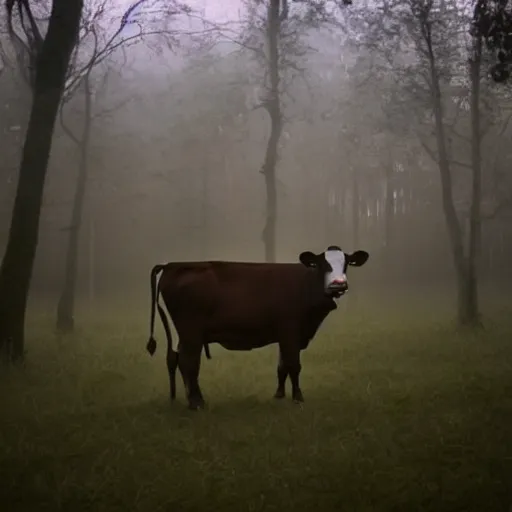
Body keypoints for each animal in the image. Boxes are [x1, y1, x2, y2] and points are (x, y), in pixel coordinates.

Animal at [146, 246, 370, 410]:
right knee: (188, 362)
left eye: (347, 264)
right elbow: (294, 366)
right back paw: (196, 402)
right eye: (322, 265)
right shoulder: (291, 332)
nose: (338, 284)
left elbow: (282, 366)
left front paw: (279, 394)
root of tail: (171, 265)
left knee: (176, 359)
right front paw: (298, 397)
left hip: (184, 334)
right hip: (191, 333)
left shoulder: (286, 335)